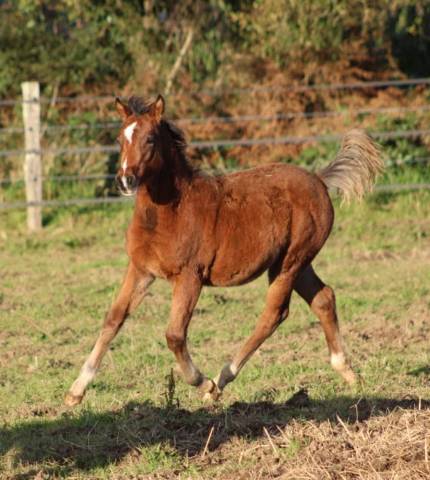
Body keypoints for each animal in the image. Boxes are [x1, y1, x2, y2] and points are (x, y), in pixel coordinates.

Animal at [64, 93, 382, 404]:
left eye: (150, 139)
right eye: (120, 138)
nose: (125, 180)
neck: (170, 212)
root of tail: (319, 180)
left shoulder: (190, 276)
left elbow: (174, 335)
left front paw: (204, 383)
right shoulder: (141, 270)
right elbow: (113, 319)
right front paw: (76, 390)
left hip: (289, 263)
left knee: (274, 314)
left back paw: (221, 380)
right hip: (298, 263)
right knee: (323, 298)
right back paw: (349, 373)